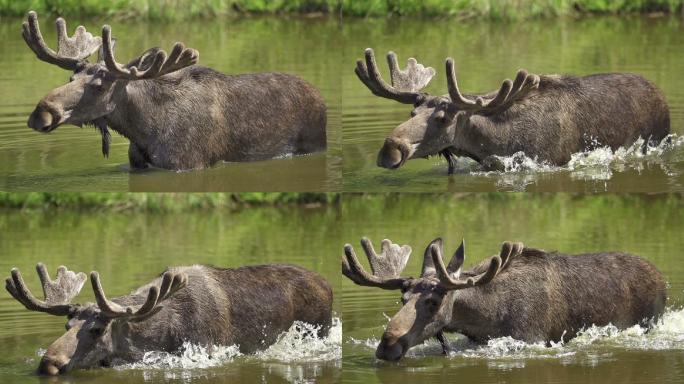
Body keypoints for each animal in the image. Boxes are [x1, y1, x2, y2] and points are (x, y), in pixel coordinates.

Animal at [22, 11, 328, 170]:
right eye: (71, 76)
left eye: (98, 85)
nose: (41, 113)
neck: (144, 130)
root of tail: (318, 93)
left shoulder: (188, 164)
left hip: (314, 143)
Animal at [344, 237, 664, 360]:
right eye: (403, 299)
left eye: (433, 302)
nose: (387, 345)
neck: (488, 318)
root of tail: (662, 278)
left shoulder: (532, 338)